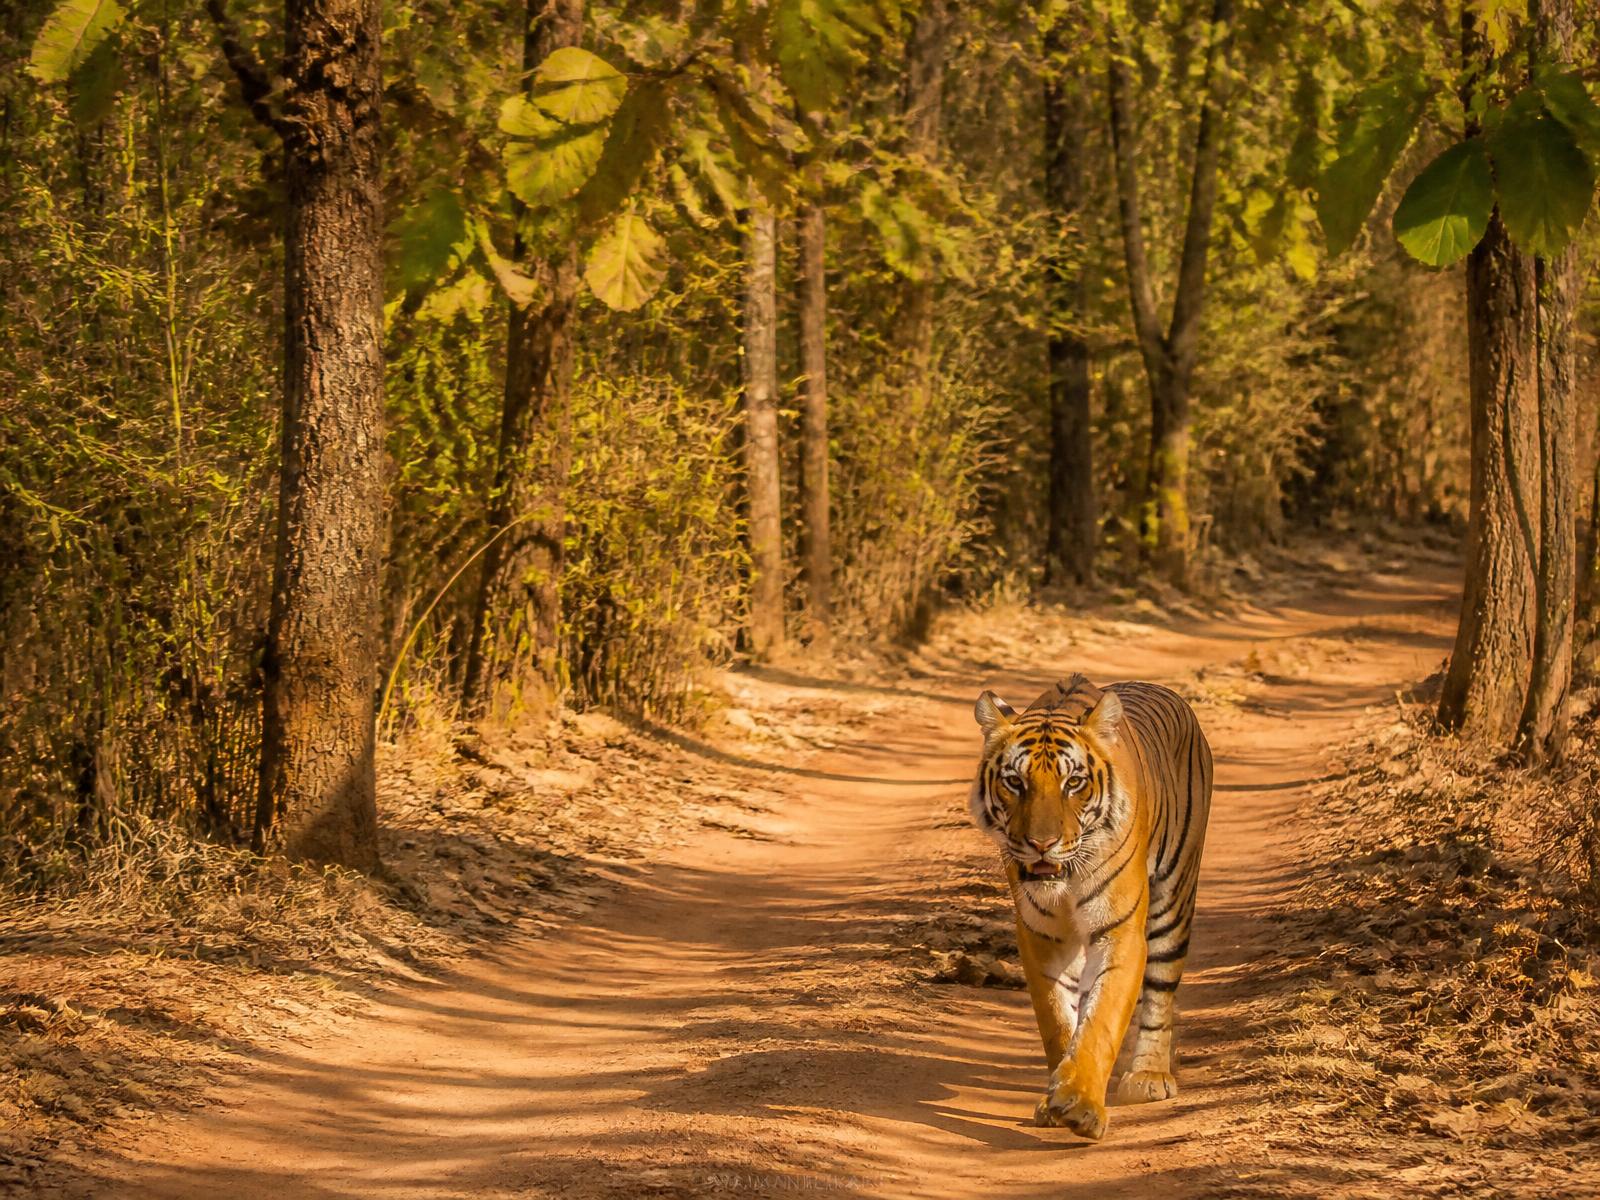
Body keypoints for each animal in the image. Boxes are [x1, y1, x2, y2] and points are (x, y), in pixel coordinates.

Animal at [968, 673, 1213, 1140]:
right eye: (1015, 782)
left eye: (1074, 783)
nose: (1041, 843)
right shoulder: (1042, 937)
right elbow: (1058, 1018)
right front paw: (1056, 1097)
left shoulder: (1120, 931)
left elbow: (1101, 1019)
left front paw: (1080, 1104)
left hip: (1174, 897)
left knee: (1160, 990)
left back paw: (1149, 1076)